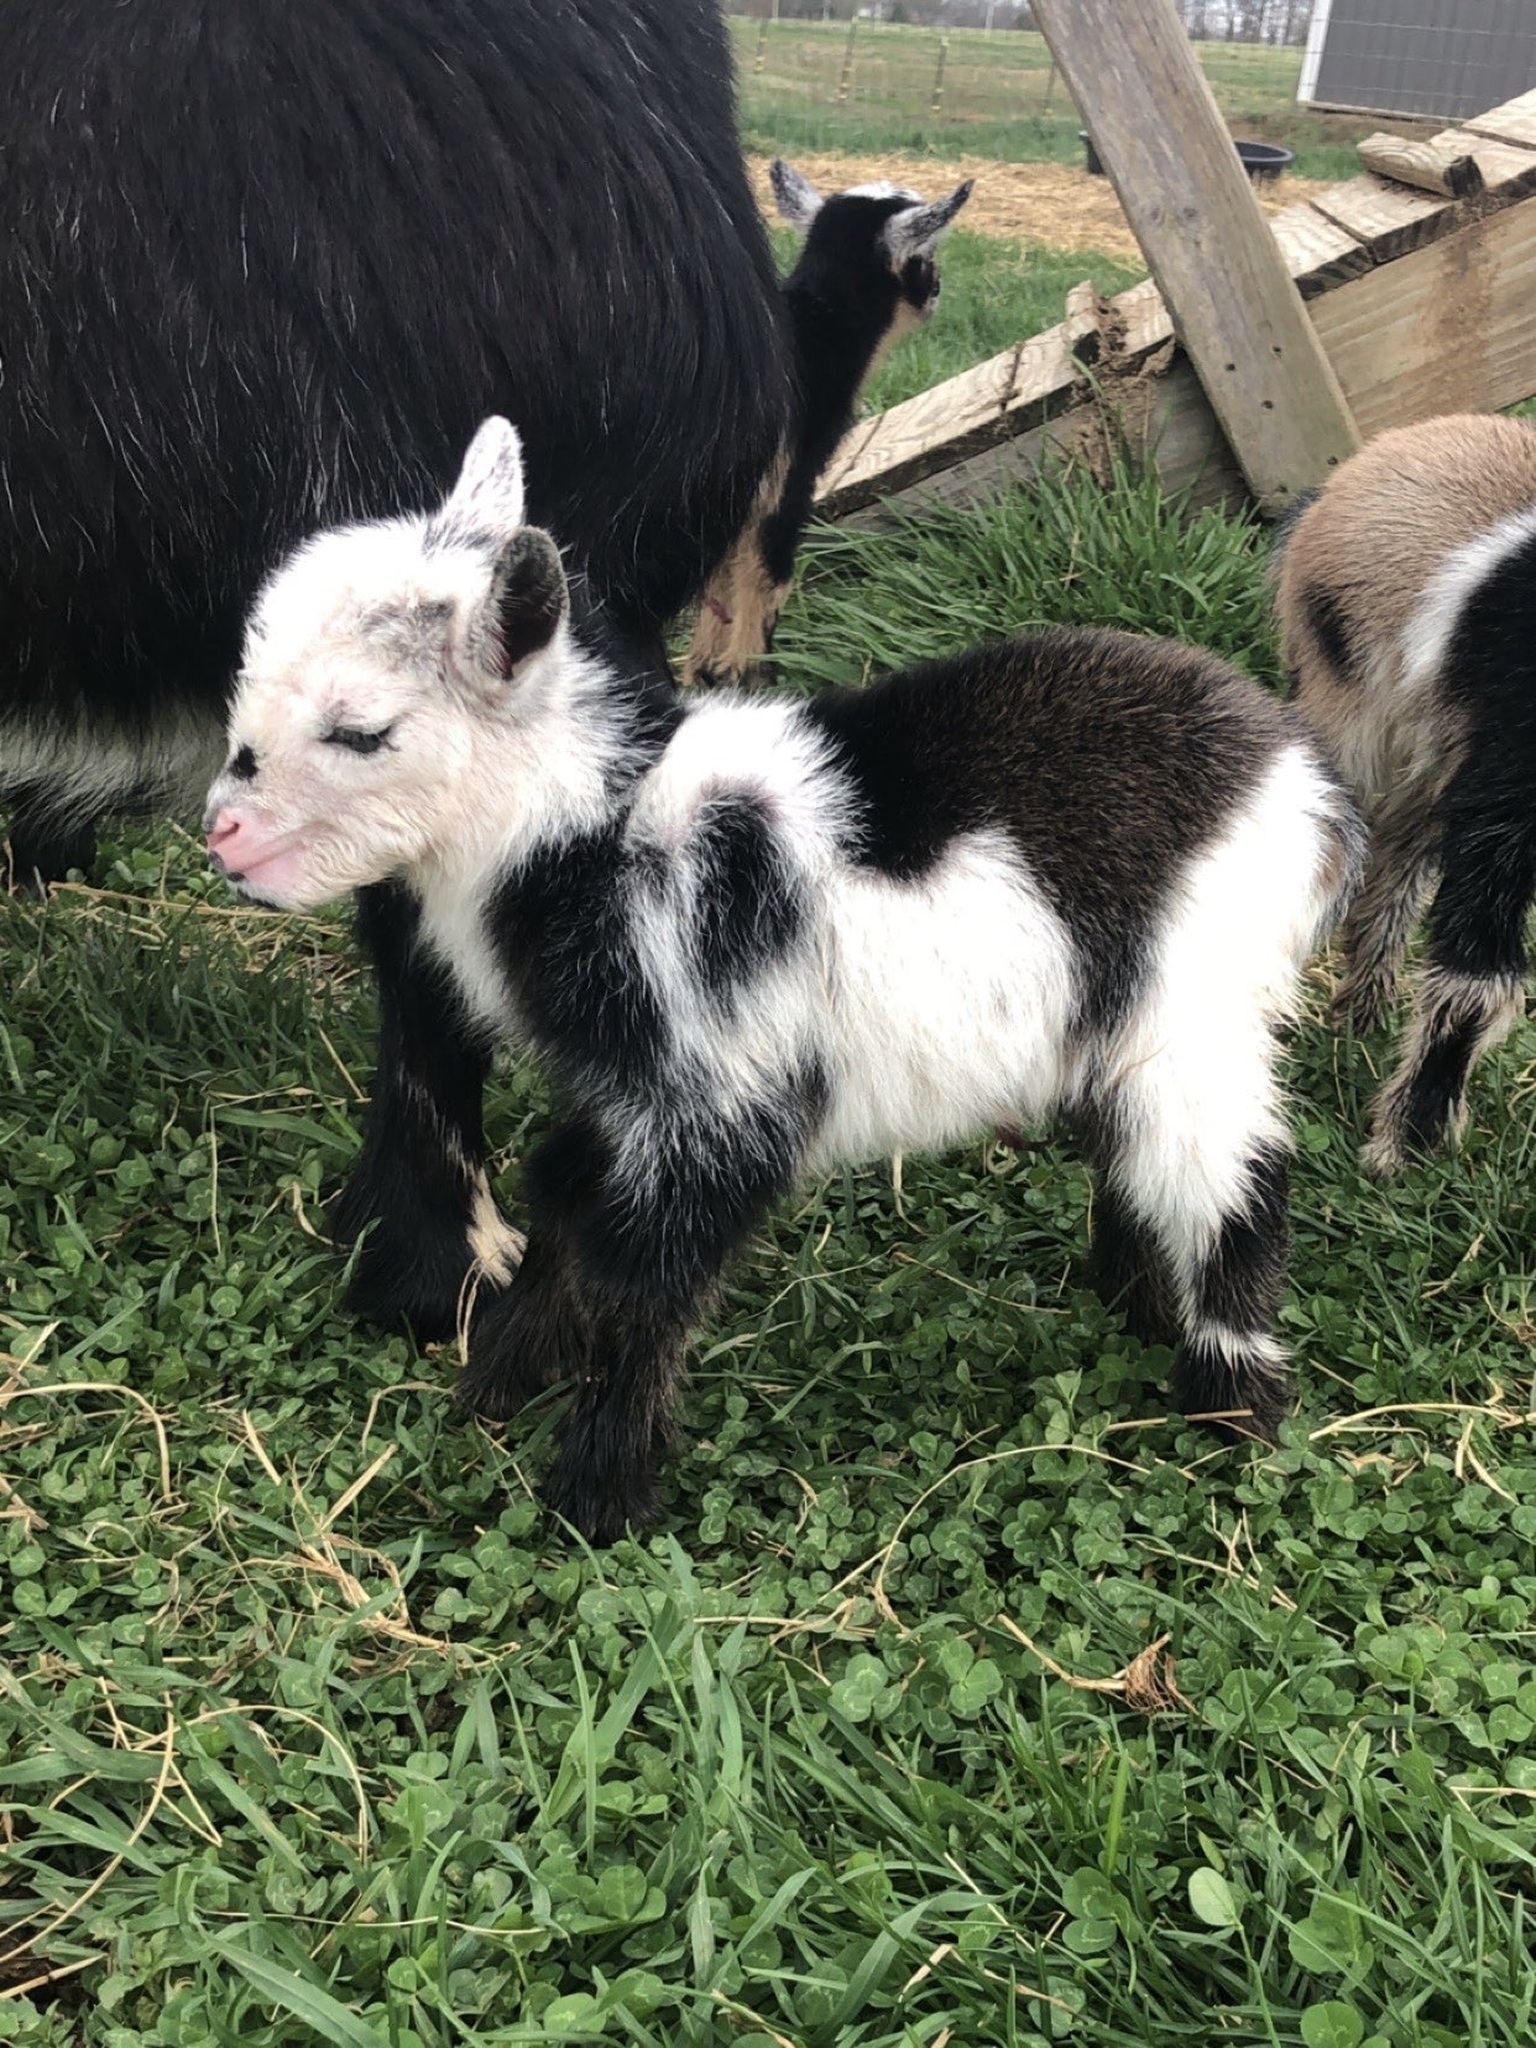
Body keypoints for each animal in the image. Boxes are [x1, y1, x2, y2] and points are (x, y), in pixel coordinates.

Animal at [207, 418, 1363, 1541]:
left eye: (360, 732)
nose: (224, 835)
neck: (592, 828)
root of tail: (1304, 781)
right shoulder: (626, 1091)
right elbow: (564, 1194)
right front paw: (501, 1379)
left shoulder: (722, 1095)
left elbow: (645, 1277)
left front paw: (595, 1498)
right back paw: (1136, 1305)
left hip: (1195, 1007)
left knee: (1228, 1179)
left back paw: (1231, 1404)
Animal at [686, 162, 970, 688]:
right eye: (926, 256)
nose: (935, 295)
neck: (818, 329)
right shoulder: (788, 477)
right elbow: (768, 576)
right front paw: (751, 675)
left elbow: (719, 580)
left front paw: (706, 673)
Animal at [1275, 412, 1536, 1174]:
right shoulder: (1507, 774)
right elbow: (1479, 974)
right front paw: (1406, 1145)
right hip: (1351, 706)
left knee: (1398, 860)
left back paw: (1359, 1015)